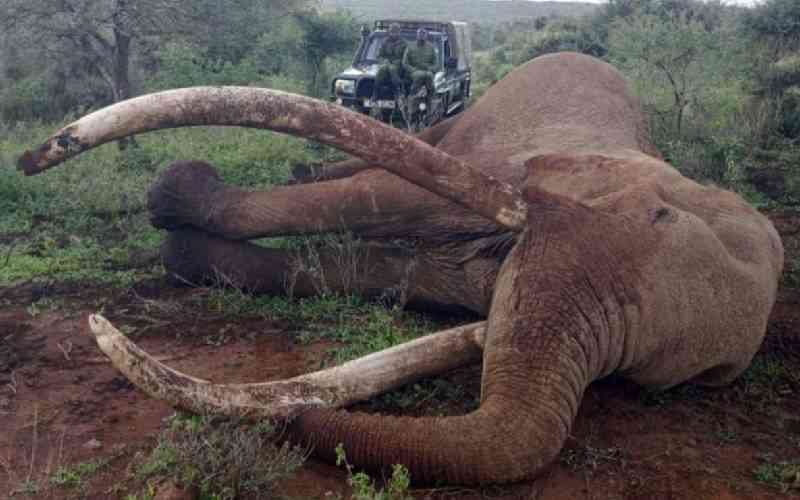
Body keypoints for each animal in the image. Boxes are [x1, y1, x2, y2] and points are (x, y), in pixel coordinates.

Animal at [19, 52, 783, 485]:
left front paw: (183, 251)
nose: (292, 421)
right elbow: (376, 195)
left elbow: (374, 271)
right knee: (397, 150)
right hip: (471, 115)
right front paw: (175, 202)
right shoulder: (513, 172)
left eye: (649, 372)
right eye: (658, 216)